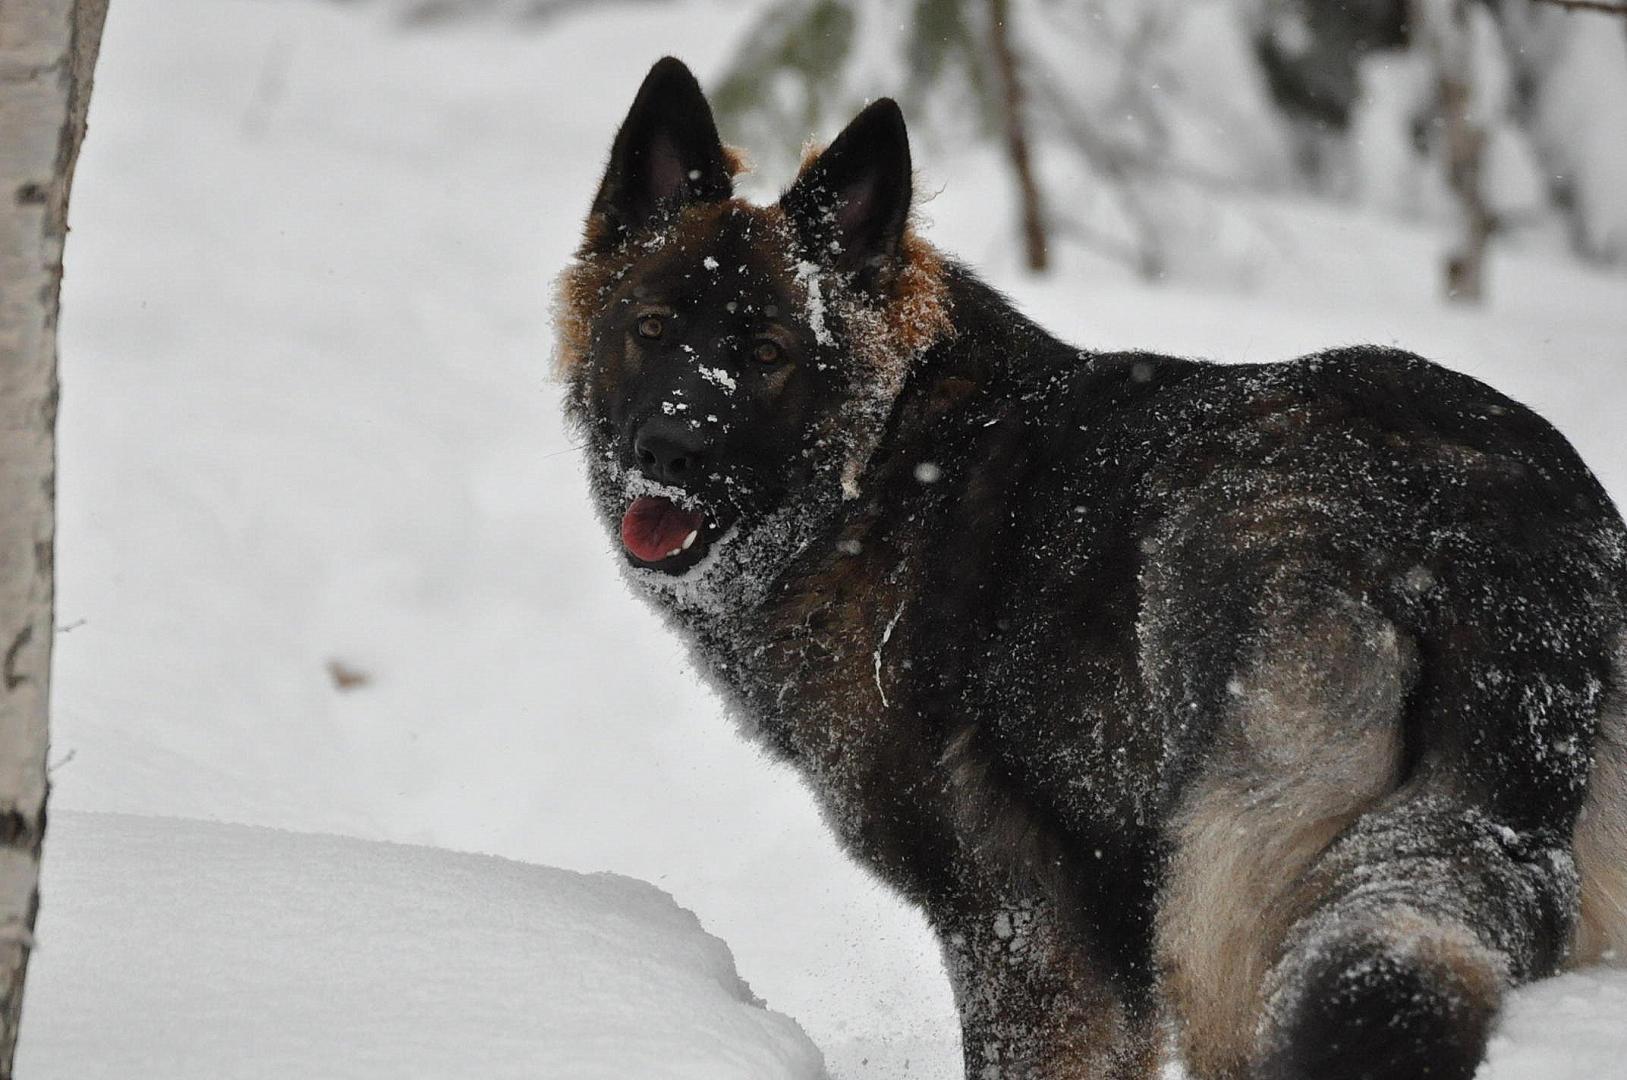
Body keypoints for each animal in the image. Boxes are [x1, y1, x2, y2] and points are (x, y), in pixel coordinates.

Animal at [556, 57, 1627, 1080]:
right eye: (650, 328)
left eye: (772, 352)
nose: (667, 451)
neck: (887, 462)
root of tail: (1481, 521)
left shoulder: (1021, 930)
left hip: (1224, 912)